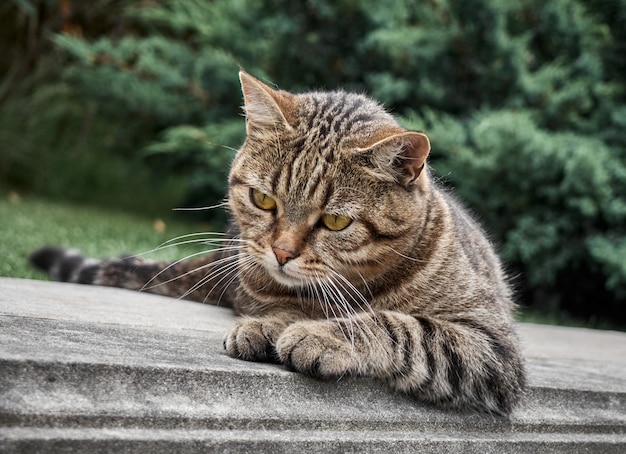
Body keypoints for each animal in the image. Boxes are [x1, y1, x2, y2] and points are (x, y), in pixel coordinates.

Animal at [31, 70, 524, 414]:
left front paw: (322, 333)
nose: (282, 252)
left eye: (335, 221)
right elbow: (281, 305)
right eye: (263, 199)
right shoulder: (258, 288)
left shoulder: (489, 347)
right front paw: (272, 323)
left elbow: (400, 326)